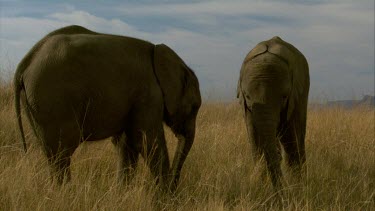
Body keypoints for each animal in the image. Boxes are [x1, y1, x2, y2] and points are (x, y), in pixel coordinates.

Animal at [13, 24, 203, 190]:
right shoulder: (149, 95)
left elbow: (126, 145)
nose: (174, 188)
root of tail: (26, 62)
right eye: (194, 107)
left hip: (34, 103)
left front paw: (122, 192)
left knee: (53, 155)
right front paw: (164, 197)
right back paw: (64, 193)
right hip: (51, 98)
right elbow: (147, 142)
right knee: (62, 153)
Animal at [239, 36, 310, 190]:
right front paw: (259, 185)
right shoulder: (247, 109)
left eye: (284, 96)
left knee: (296, 139)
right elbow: (255, 140)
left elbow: (291, 139)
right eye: (247, 96)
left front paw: (296, 188)